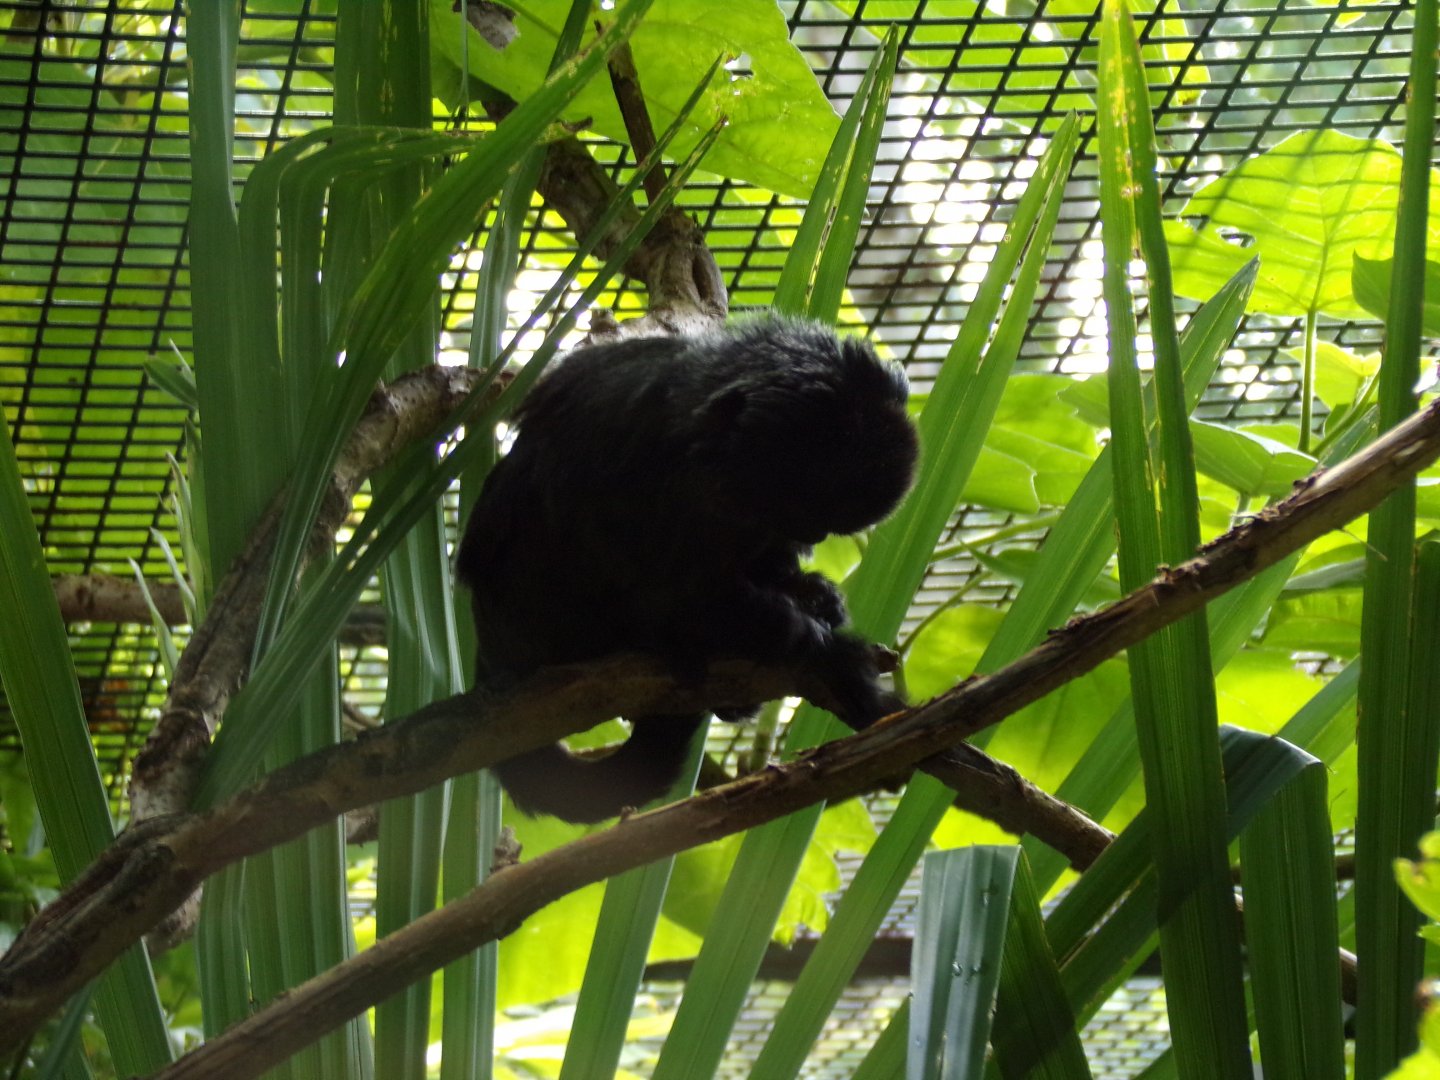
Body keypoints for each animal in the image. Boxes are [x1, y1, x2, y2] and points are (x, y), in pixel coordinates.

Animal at [456, 316, 920, 823]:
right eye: (802, 510)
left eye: (820, 525)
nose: (813, 536)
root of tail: (492, 649)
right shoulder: (664, 479)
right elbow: (670, 590)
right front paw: (809, 638)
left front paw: (815, 597)